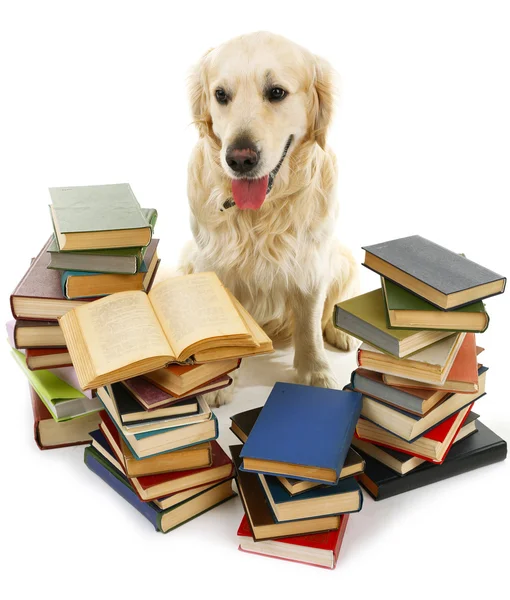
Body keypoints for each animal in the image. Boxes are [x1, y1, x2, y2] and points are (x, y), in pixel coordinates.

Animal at [179, 32, 358, 408]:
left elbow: (309, 325)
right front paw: (218, 381)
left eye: (276, 92)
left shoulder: (311, 262)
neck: (262, 213)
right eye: (221, 95)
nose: (239, 158)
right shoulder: (212, 263)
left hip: (342, 258)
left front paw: (317, 375)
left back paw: (341, 333)